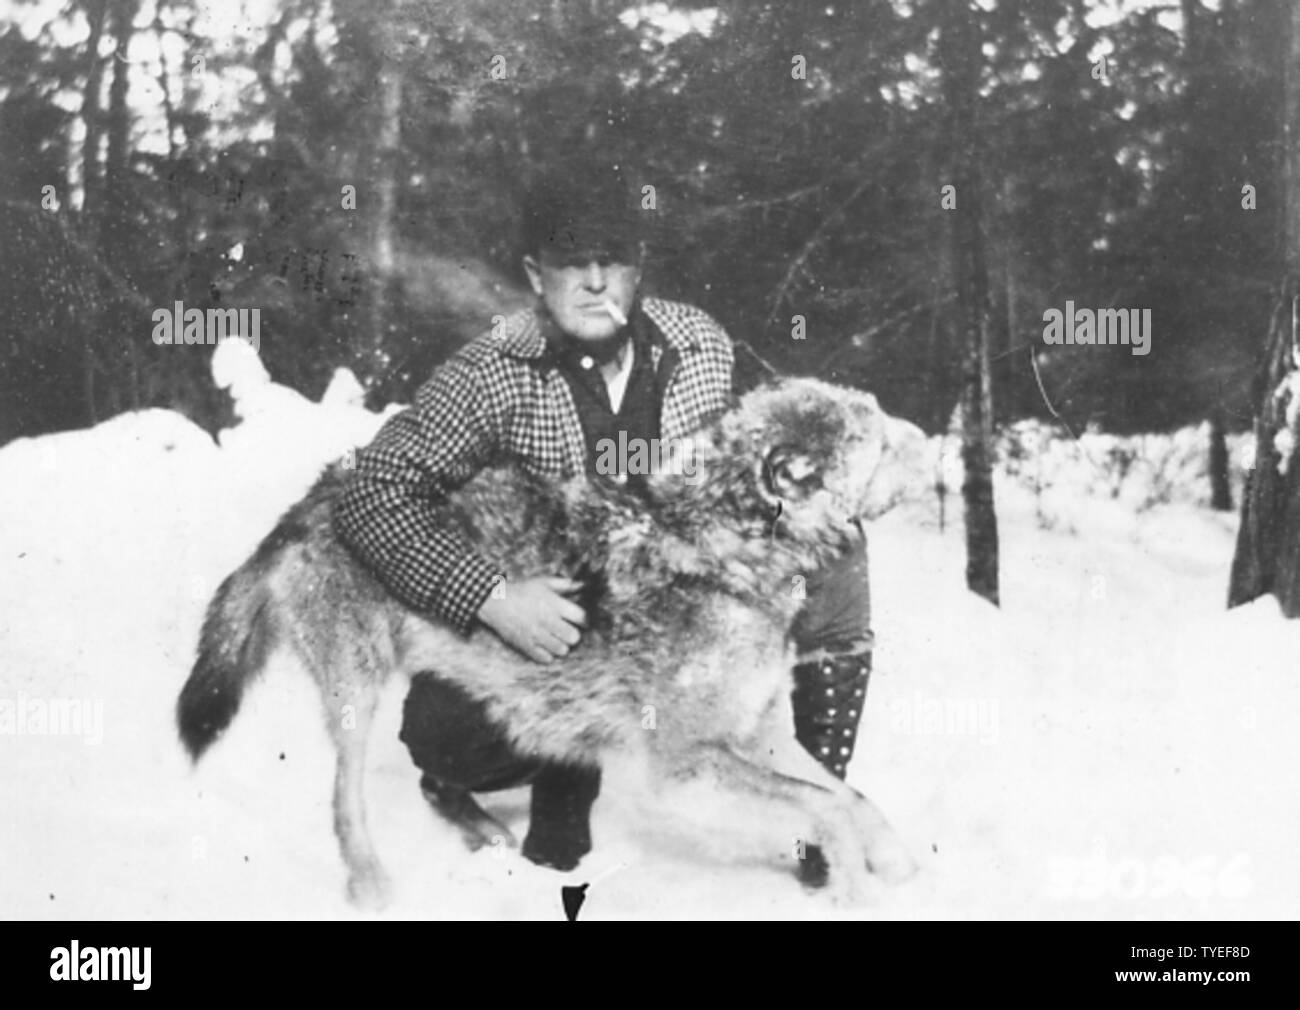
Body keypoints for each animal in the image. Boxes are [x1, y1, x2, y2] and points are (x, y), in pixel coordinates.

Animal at [175, 376, 925, 904]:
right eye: (884, 442)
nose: (930, 439)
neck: (730, 554)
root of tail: (316, 495)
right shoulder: (684, 765)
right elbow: (822, 805)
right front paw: (858, 892)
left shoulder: (759, 731)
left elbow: (847, 796)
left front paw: (895, 863)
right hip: (357, 697)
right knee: (344, 803)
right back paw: (372, 888)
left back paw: (489, 837)